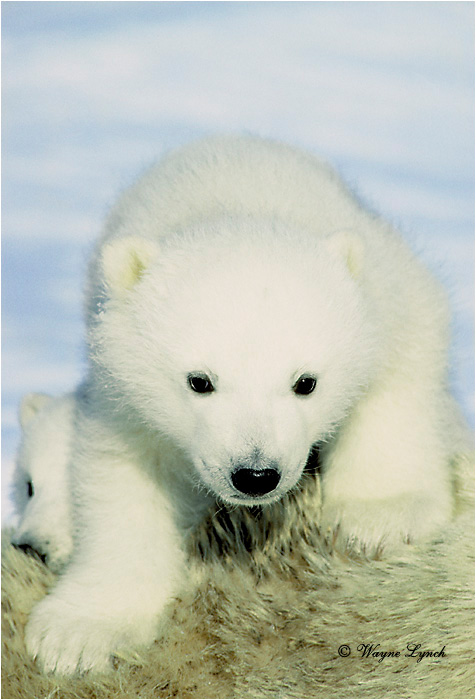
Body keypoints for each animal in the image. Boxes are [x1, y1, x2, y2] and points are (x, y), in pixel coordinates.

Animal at [25, 134, 468, 675]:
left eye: (306, 382)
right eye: (199, 381)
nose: (255, 475)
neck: (239, 203)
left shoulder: (389, 292)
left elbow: (402, 375)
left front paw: (383, 516)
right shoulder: (121, 384)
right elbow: (125, 480)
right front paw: (77, 636)